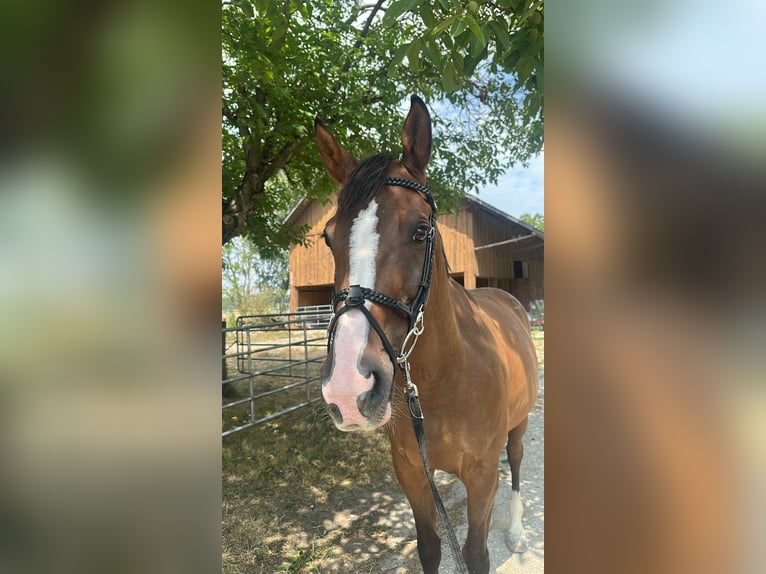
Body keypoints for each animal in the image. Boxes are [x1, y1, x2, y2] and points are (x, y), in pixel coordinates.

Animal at [315, 95, 539, 574]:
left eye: (420, 230)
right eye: (328, 237)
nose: (347, 388)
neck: (446, 378)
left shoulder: (481, 477)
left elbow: (476, 554)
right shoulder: (413, 473)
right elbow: (430, 547)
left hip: (519, 425)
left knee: (516, 463)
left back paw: (515, 529)